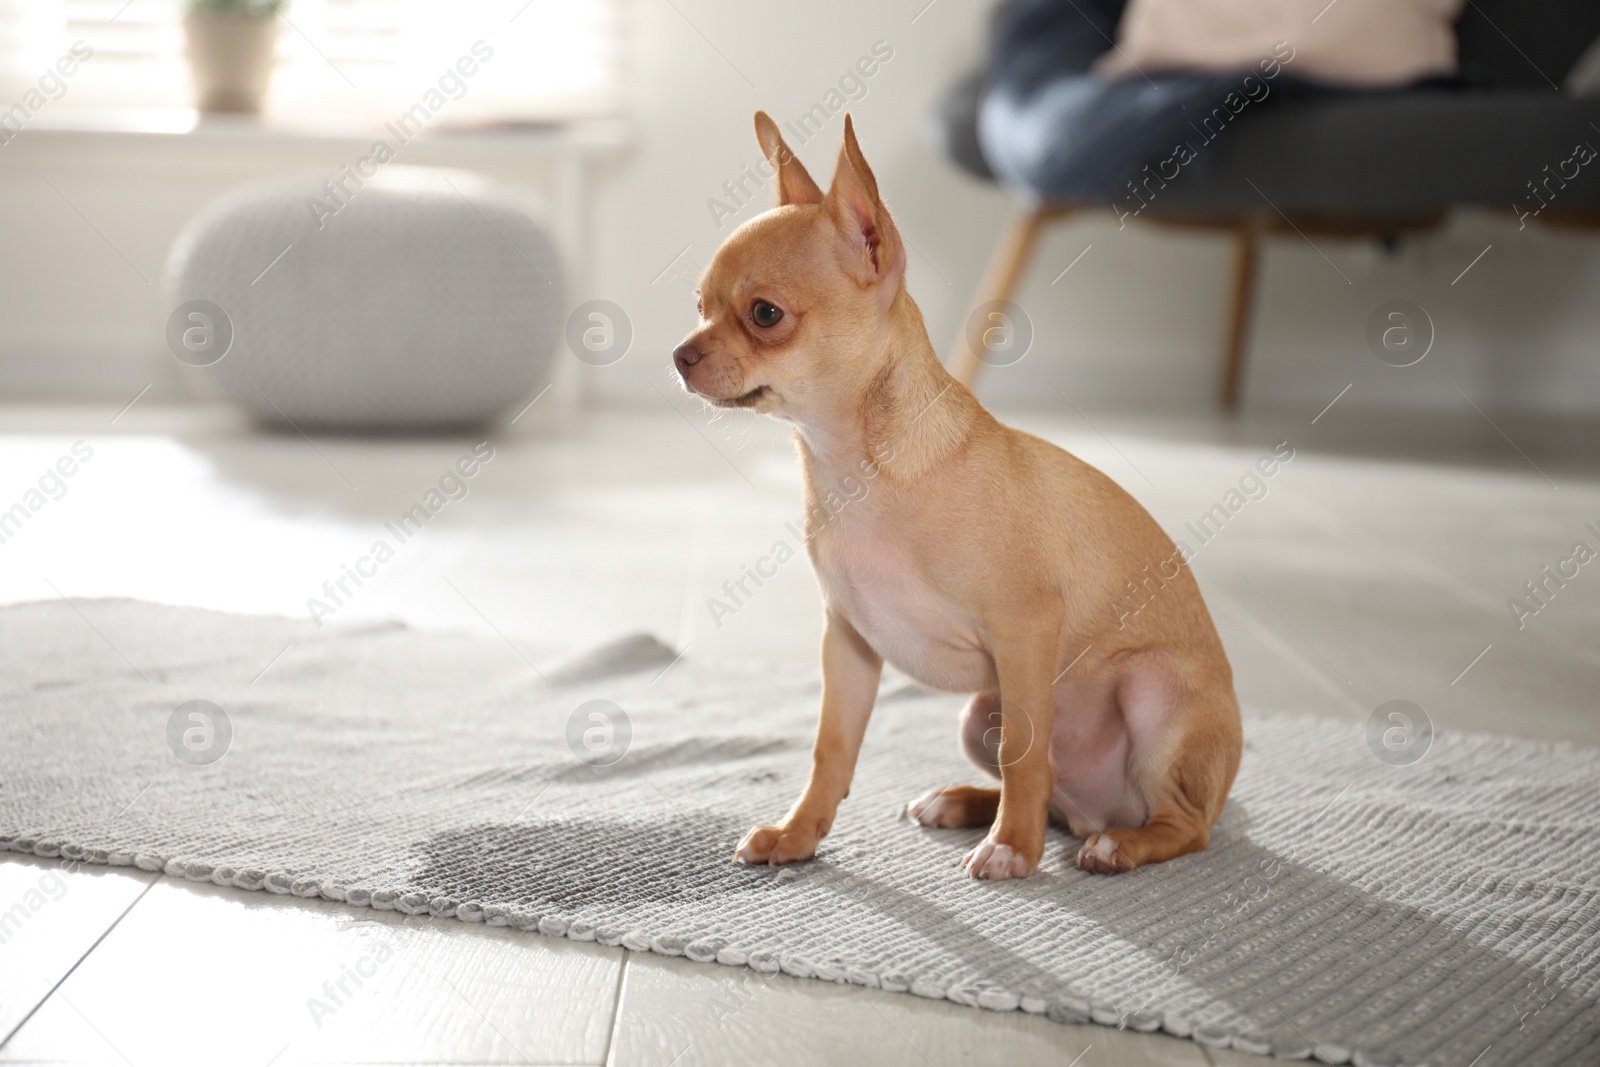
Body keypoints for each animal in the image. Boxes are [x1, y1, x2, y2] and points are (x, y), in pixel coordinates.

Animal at [668, 112, 1241, 883]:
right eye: (699, 307)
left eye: (765, 314)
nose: (680, 355)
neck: (858, 468)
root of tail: (1108, 811)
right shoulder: (848, 645)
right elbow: (830, 749)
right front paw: (798, 833)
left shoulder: (1024, 631)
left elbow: (1024, 751)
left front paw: (1012, 849)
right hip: (977, 713)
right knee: (1057, 796)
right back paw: (966, 801)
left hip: (1152, 694)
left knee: (1178, 823)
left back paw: (1116, 845)